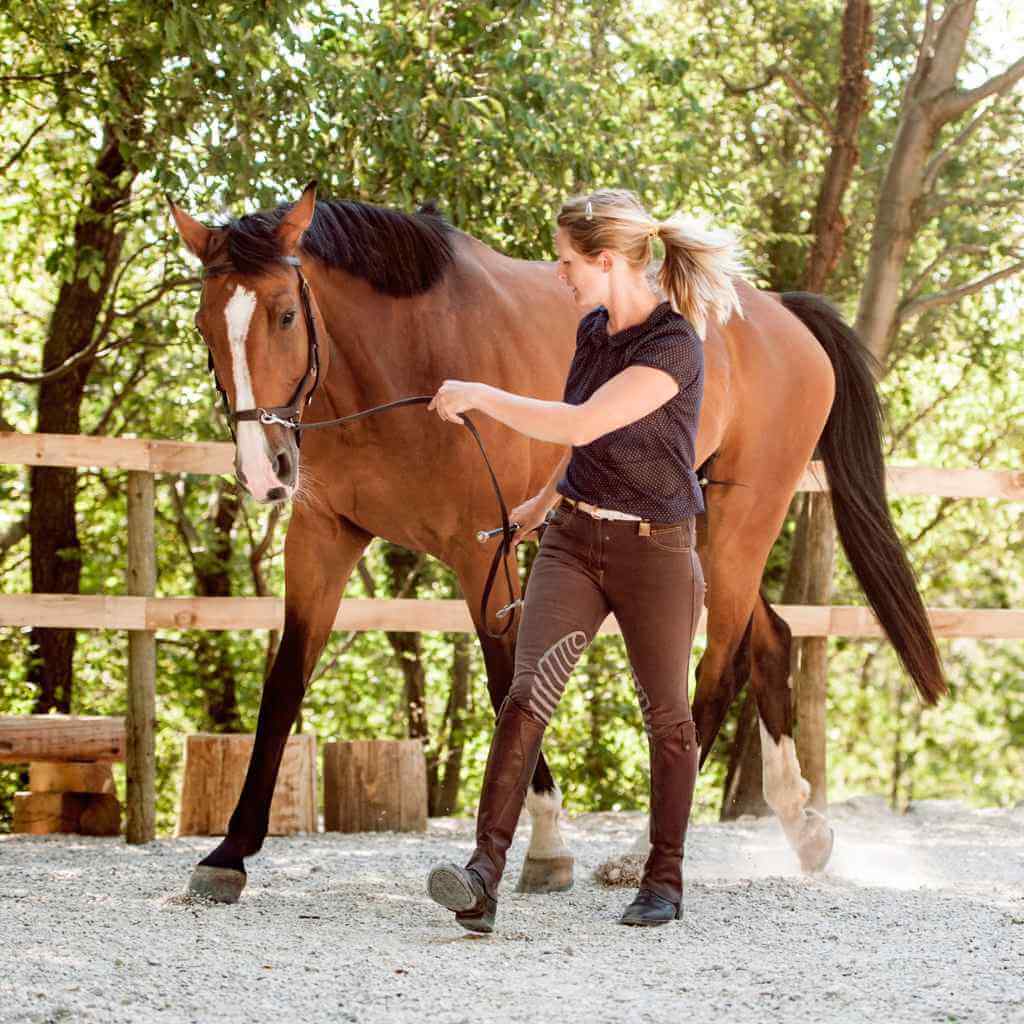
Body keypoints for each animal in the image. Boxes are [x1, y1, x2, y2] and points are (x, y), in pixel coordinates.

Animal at [168, 182, 944, 904]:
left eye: (285, 313)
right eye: (205, 324)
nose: (264, 471)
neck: (406, 355)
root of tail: (782, 314)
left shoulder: (484, 551)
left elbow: (510, 679)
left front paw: (545, 842)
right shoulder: (323, 538)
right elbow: (284, 683)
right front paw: (230, 853)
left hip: (740, 525)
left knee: (719, 667)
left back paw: (640, 853)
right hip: (696, 529)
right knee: (772, 639)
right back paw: (804, 828)